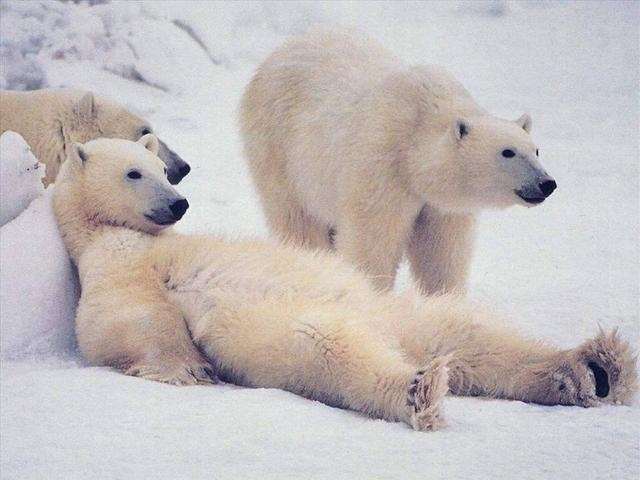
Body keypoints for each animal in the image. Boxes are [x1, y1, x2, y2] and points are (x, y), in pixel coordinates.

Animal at [51, 135, 636, 432]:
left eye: (161, 170)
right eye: (134, 172)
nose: (178, 203)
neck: (124, 235)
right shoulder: (111, 268)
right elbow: (125, 320)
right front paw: (187, 368)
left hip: (394, 309)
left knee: (467, 334)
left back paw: (594, 368)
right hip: (296, 325)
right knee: (329, 348)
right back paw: (420, 389)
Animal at [240, 31, 556, 292]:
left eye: (536, 150)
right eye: (507, 152)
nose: (546, 183)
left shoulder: (441, 206)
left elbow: (441, 251)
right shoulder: (382, 166)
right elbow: (374, 241)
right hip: (279, 149)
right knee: (298, 221)